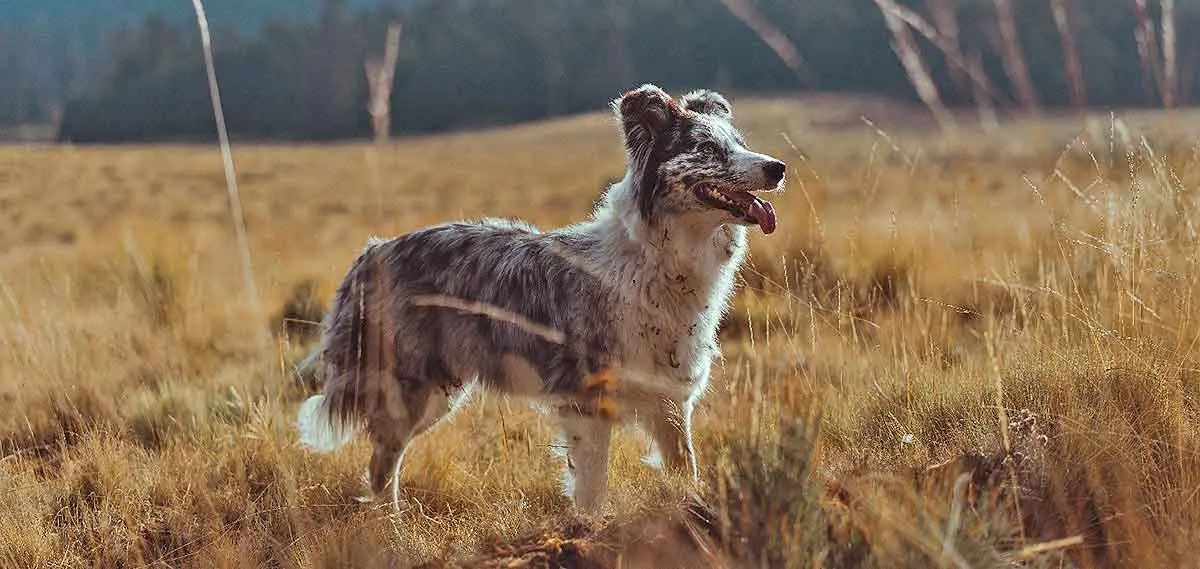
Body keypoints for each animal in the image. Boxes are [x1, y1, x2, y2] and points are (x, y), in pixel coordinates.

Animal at [297, 83, 787, 511]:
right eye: (706, 149)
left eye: (739, 143)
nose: (778, 167)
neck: (661, 261)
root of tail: (374, 251)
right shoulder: (586, 404)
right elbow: (592, 490)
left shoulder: (670, 402)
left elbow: (686, 471)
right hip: (410, 388)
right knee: (383, 465)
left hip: (437, 390)